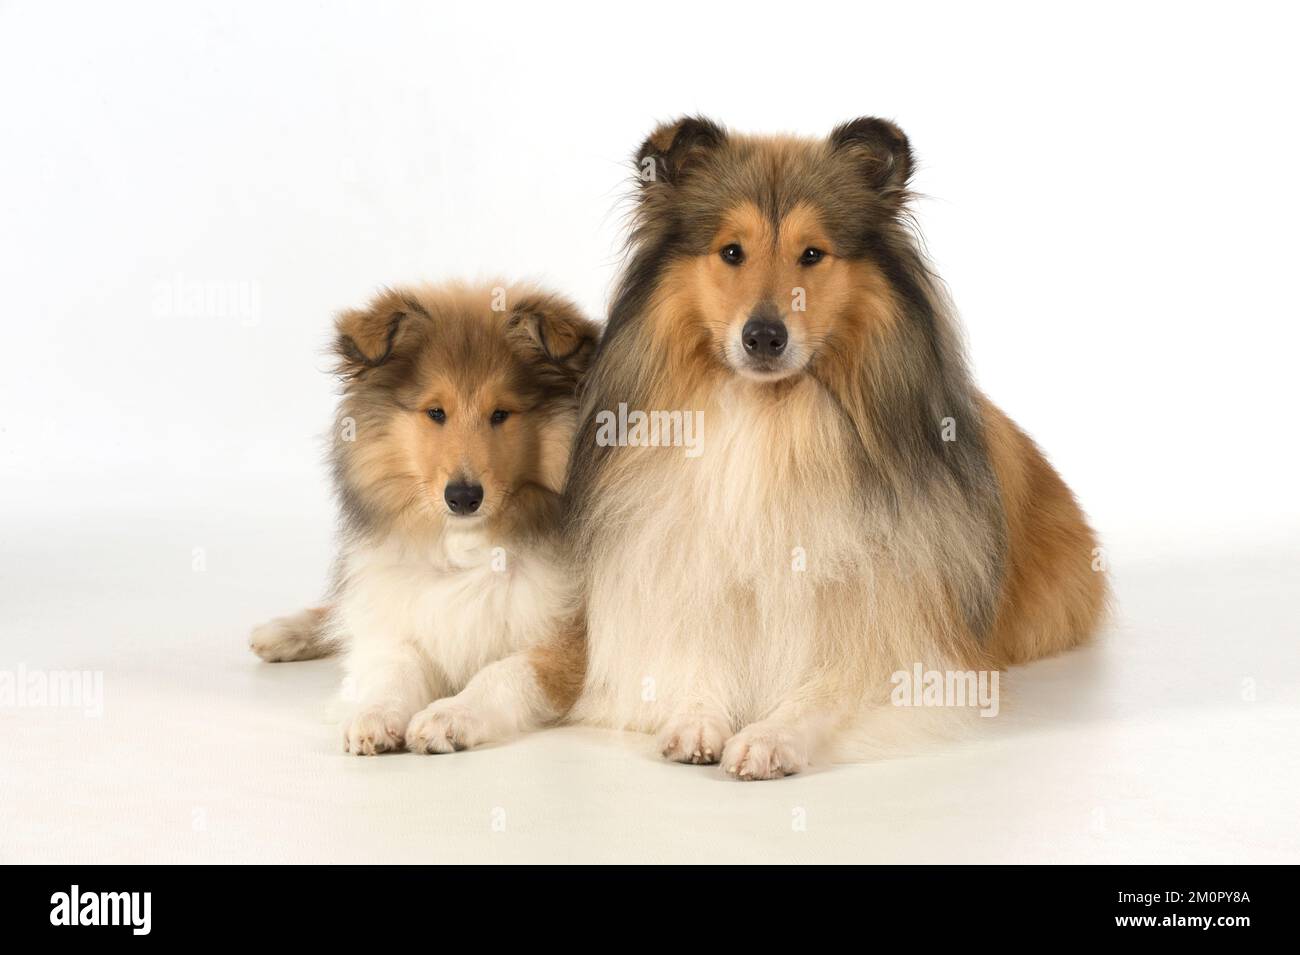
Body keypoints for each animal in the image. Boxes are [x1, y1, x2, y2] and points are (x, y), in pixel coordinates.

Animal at [248, 280, 595, 758]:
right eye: (435, 412)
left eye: (501, 414)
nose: (463, 497)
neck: (466, 548)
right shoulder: (404, 616)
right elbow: (395, 667)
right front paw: (374, 714)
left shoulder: (572, 644)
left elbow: (502, 674)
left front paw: (449, 716)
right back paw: (281, 631)